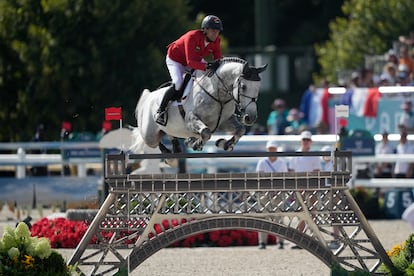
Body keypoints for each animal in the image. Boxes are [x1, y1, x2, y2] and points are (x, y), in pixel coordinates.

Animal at [132, 57, 268, 154]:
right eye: (243, 87)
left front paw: (224, 144)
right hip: (149, 135)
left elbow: (241, 130)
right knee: (150, 140)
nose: (250, 118)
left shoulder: (224, 121)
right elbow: (206, 132)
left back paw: (178, 146)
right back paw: (169, 152)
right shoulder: (191, 119)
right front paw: (196, 144)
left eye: (258, 88)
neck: (218, 95)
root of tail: (147, 97)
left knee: (168, 133)